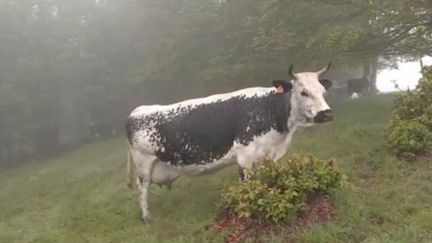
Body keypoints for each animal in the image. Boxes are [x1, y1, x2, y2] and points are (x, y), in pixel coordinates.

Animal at [125, 63, 334, 224]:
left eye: (323, 91)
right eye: (304, 92)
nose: (326, 113)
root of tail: (138, 110)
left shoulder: (267, 155)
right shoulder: (245, 156)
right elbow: (248, 186)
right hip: (143, 163)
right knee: (142, 188)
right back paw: (146, 218)